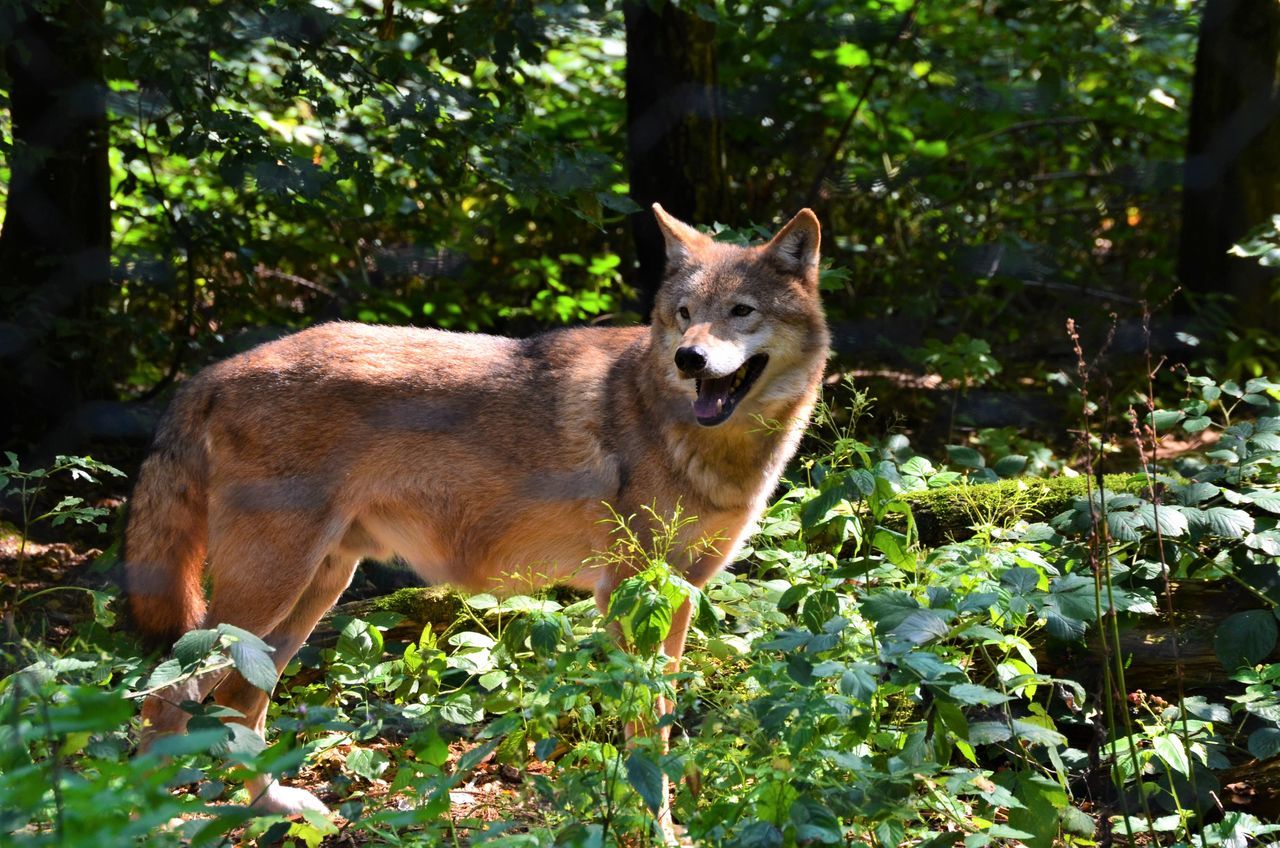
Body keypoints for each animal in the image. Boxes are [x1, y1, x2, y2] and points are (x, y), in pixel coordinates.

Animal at [124, 204, 829, 819]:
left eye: (740, 312)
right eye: (684, 314)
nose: (690, 357)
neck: (692, 434)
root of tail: (211, 373)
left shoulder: (676, 591)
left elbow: (663, 718)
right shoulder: (630, 591)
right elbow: (645, 736)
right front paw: (654, 827)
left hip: (309, 596)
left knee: (239, 705)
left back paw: (277, 809)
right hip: (265, 594)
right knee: (165, 700)